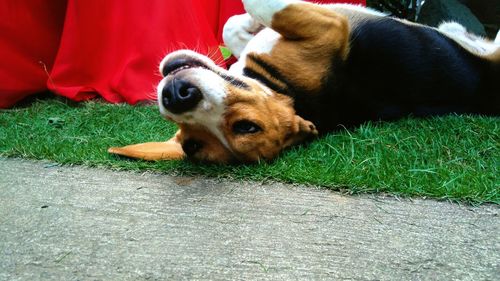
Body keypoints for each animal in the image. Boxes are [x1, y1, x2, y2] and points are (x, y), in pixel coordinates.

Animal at [110, 0, 500, 163]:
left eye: (246, 126)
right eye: (191, 140)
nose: (177, 96)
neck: (283, 87)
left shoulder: (326, 27)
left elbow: (238, 21)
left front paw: (247, 26)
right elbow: (248, 16)